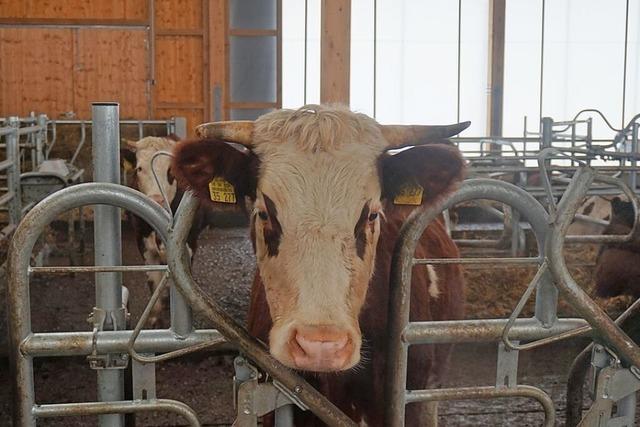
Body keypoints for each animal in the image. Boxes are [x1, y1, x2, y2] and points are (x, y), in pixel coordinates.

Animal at [121, 137, 209, 328]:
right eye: (139, 168)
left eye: (171, 170)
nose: (156, 199)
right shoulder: (144, 246)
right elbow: (154, 283)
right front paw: (156, 322)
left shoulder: (189, 245)